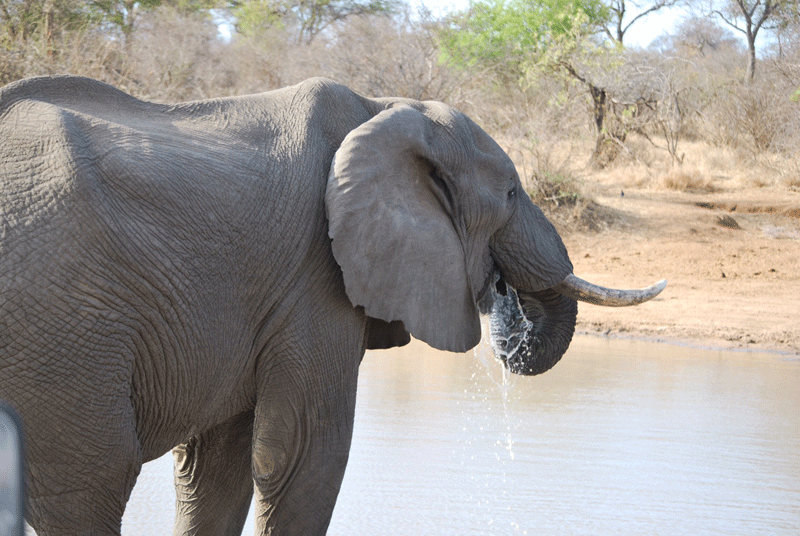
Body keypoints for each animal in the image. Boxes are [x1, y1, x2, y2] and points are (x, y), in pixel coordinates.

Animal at [0, 75, 665, 535]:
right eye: (508, 194)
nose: (500, 288)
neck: (386, 107)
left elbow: (216, 470)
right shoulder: (313, 275)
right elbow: (299, 452)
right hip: (60, 329)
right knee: (93, 480)